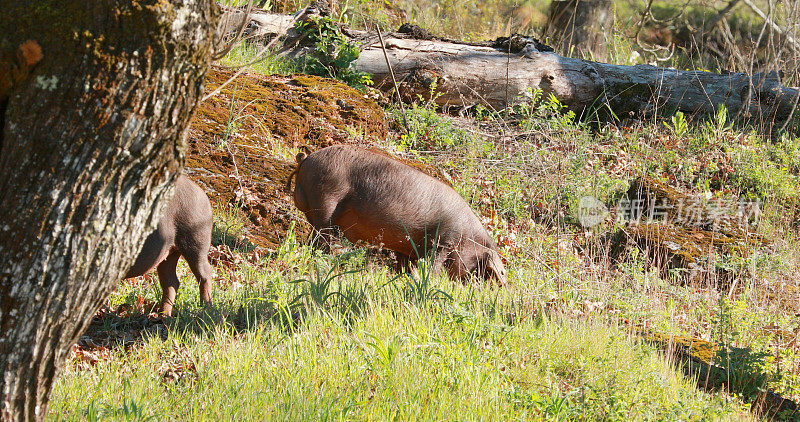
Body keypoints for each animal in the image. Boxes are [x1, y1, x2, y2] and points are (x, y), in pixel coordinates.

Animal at [124, 173, 214, 314]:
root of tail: (202, 193)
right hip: (169, 252)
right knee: (171, 282)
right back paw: (163, 315)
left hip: (196, 241)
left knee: (205, 274)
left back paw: (207, 309)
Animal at [288, 143, 506, 286]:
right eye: (480, 267)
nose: (479, 286)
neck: (467, 235)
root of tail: (306, 158)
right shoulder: (443, 241)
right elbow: (433, 265)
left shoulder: (408, 248)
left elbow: (405, 266)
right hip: (326, 201)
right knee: (319, 239)